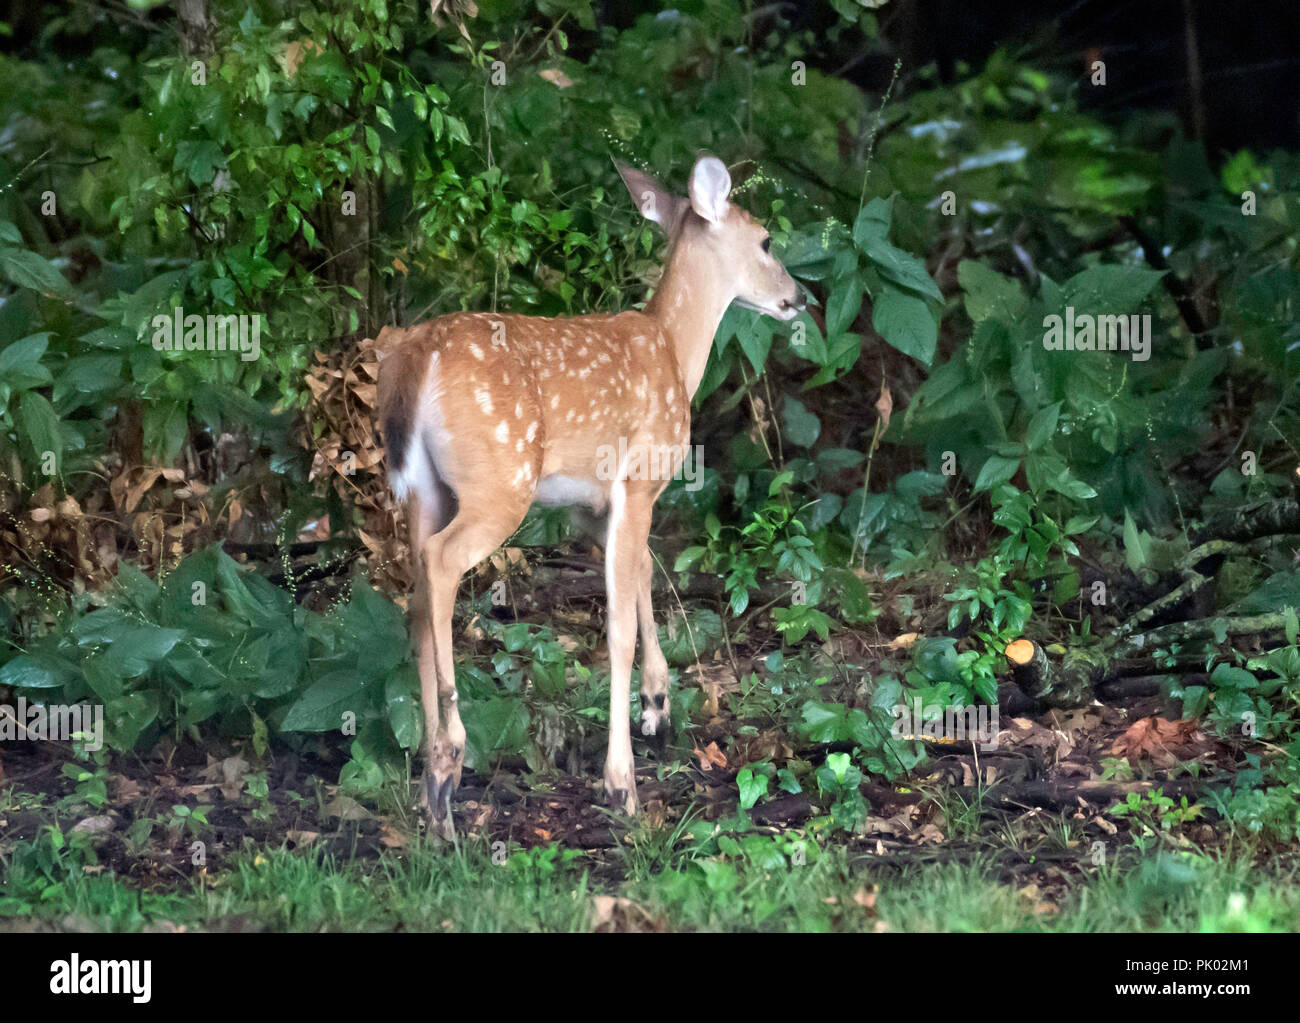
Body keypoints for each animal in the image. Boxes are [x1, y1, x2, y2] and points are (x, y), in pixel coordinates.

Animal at [374, 154, 800, 842]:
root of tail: (416, 359)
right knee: (441, 565)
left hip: (422, 489)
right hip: (501, 480)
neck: (676, 351)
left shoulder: (588, 505)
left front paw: (657, 705)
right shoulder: (639, 478)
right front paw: (622, 781)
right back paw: (448, 765)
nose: (799, 296)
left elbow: (646, 572)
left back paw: (430, 795)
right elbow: (618, 622)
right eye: (764, 240)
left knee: (413, 598)